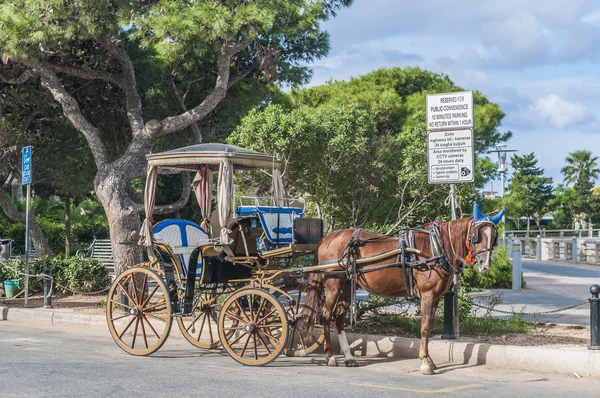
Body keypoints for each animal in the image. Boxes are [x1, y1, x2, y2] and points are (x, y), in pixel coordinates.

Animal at [298, 204, 502, 374]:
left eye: (494, 237)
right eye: (476, 235)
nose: (485, 264)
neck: (437, 247)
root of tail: (327, 238)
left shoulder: (436, 297)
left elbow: (429, 326)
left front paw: (429, 360)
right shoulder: (428, 295)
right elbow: (425, 328)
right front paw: (425, 363)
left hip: (347, 287)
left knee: (339, 318)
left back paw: (348, 358)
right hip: (333, 284)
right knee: (326, 316)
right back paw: (330, 357)